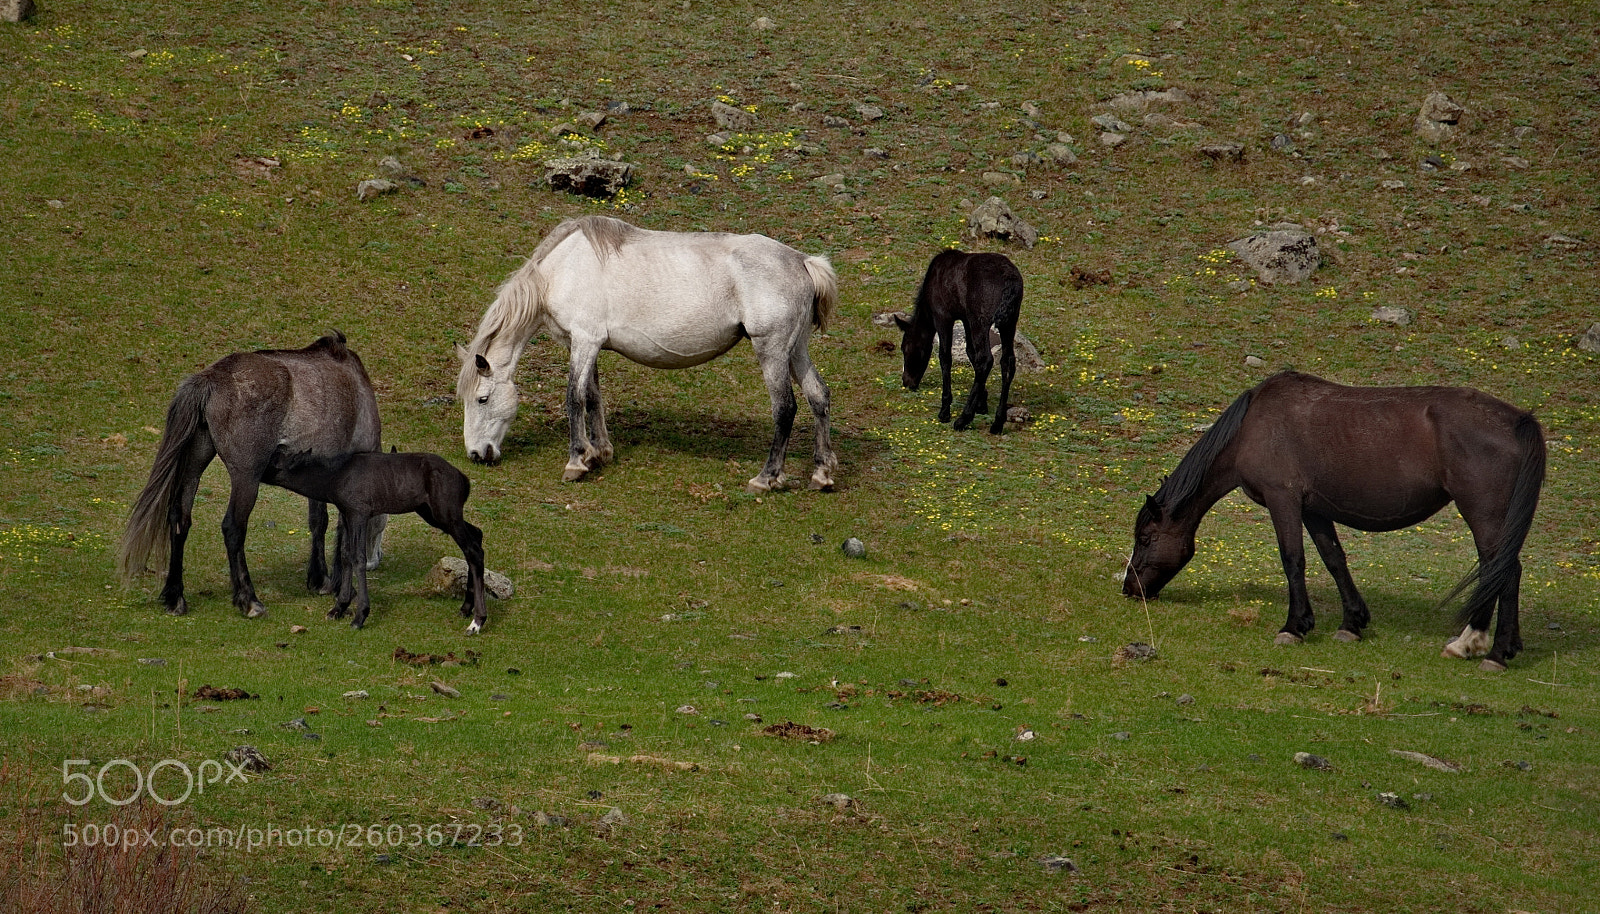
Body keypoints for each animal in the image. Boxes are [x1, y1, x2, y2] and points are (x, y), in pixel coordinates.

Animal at [117, 332, 386, 618]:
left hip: (193, 467)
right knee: (233, 528)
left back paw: (175, 596)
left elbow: (319, 521)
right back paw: (249, 600)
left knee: (180, 519)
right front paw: (339, 586)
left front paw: (320, 579)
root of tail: (212, 378)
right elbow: (342, 531)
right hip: (246, 477)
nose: (375, 560)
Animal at [265, 449, 488, 633]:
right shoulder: (347, 514)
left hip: (446, 514)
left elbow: (358, 558)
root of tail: (464, 480)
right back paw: (465, 608)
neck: (336, 476)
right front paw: (338, 608)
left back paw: (477, 621)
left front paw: (359, 616)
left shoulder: (359, 513)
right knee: (477, 535)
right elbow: (345, 554)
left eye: (273, 461)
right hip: (432, 513)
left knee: (473, 550)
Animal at [454, 215, 839, 493]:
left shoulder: (584, 341)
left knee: (785, 408)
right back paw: (821, 473)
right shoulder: (588, 345)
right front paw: (599, 453)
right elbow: (592, 396)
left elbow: (574, 398)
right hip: (795, 350)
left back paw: (766, 478)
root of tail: (802, 261)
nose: (476, 454)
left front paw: (576, 461)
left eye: (482, 398)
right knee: (818, 396)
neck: (562, 269)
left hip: (771, 350)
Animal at [894, 250, 1024, 434]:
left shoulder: (943, 317)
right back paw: (997, 422)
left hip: (980, 320)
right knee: (1007, 361)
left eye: (905, 348)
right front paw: (982, 404)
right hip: (1009, 321)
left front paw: (945, 410)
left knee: (986, 359)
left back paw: (963, 418)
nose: (907, 381)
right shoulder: (965, 318)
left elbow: (945, 357)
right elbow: (970, 352)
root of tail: (1010, 279)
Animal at [1122, 371, 1546, 671]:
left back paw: (1480, 647)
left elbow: (1293, 559)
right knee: (1504, 571)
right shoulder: (1314, 509)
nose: (1130, 588)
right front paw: (1351, 623)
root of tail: (1517, 420)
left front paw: (1294, 626)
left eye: (1145, 538)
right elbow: (1334, 560)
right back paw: (1504, 647)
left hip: (1483, 514)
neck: (1253, 427)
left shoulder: (1283, 500)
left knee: (1502, 570)